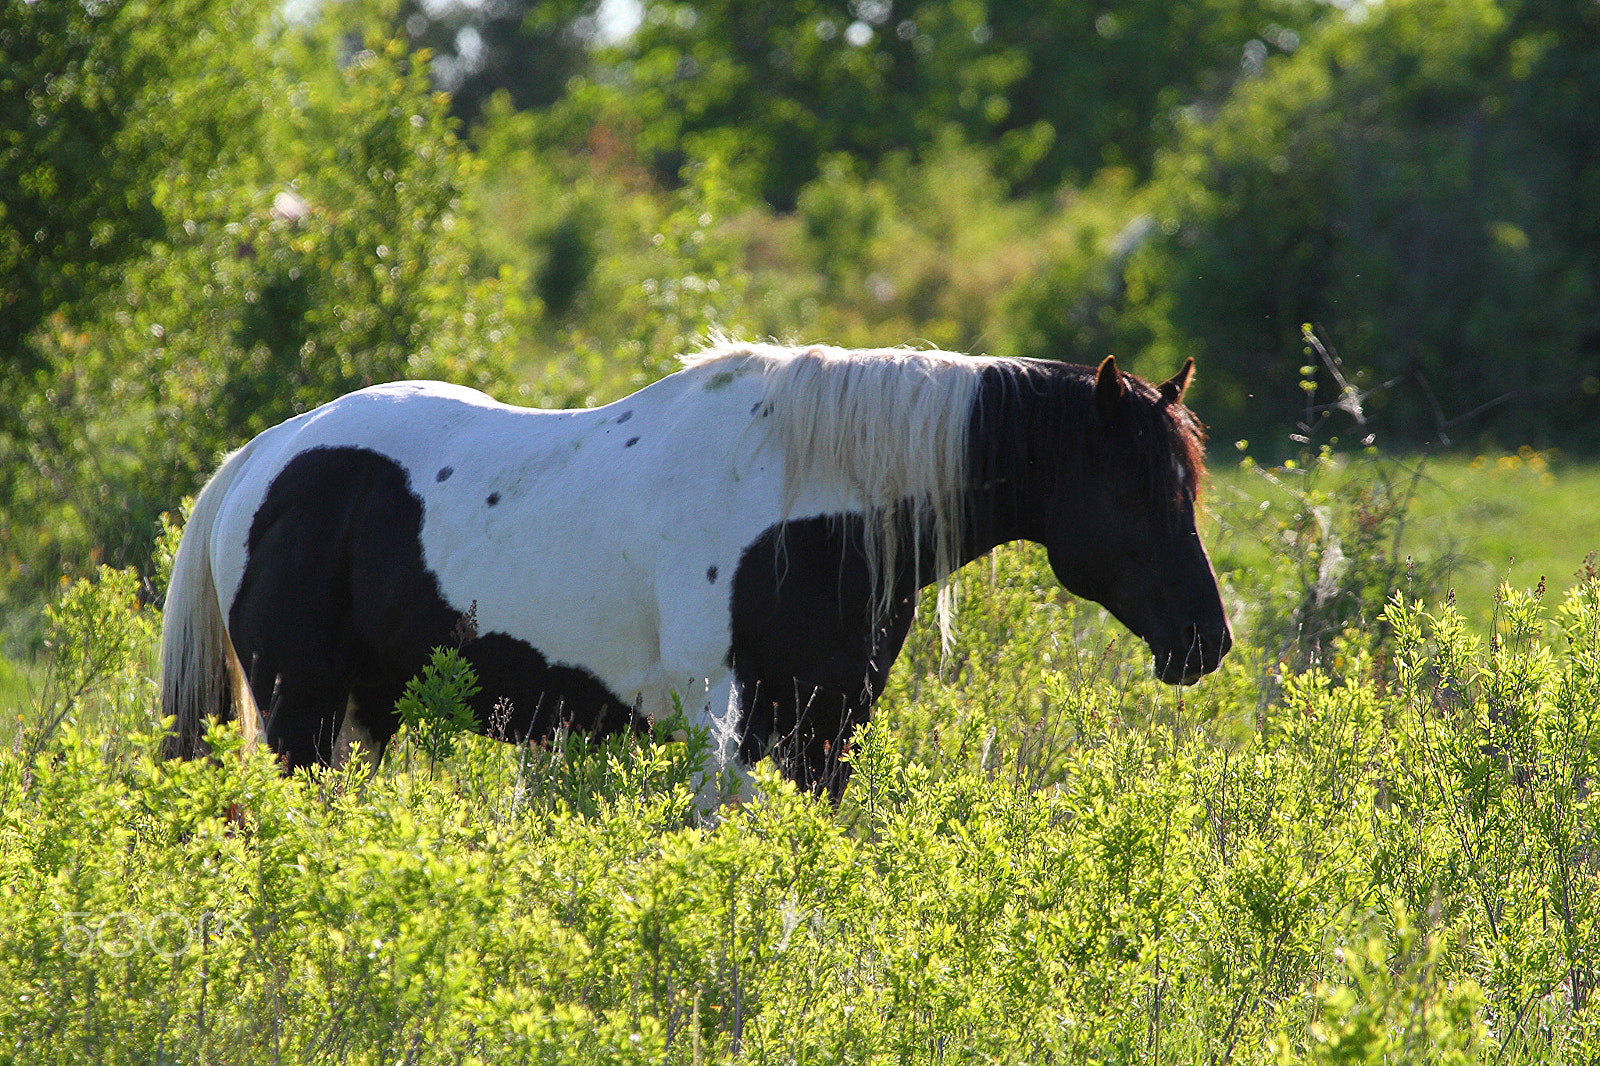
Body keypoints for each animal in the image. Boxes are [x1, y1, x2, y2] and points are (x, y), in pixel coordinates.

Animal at [159, 341, 1232, 799]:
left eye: (1188, 489)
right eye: (1132, 493)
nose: (1207, 641)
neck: (810, 504)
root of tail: (265, 456)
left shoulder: (827, 726)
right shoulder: (729, 723)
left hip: (361, 718)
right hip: (302, 715)